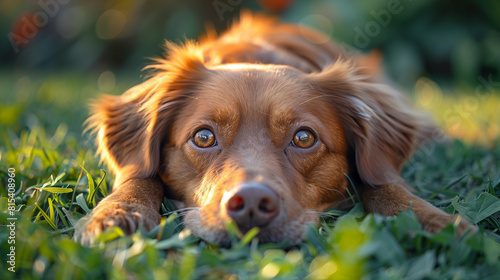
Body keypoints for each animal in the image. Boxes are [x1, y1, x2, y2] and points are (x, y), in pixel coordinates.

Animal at [74, 13, 472, 245]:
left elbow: (386, 185)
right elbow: (139, 177)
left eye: (304, 138)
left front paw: (433, 221)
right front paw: (116, 212)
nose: (251, 203)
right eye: (203, 137)